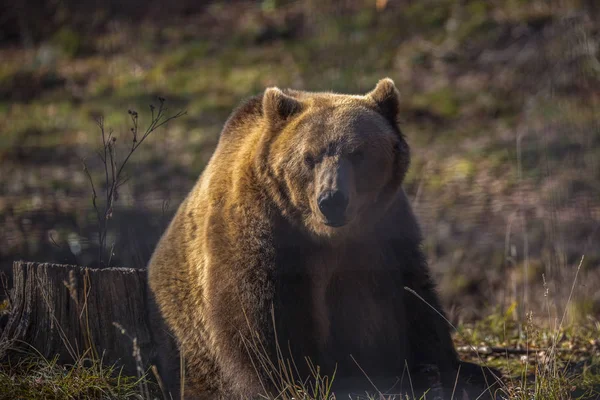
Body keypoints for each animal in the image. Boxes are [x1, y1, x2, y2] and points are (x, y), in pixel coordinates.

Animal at [146, 79, 502, 400]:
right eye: (309, 157)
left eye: (357, 153)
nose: (332, 199)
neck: (327, 236)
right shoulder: (262, 231)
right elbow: (261, 320)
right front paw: (295, 382)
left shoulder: (383, 232)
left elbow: (414, 299)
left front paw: (456, 370)